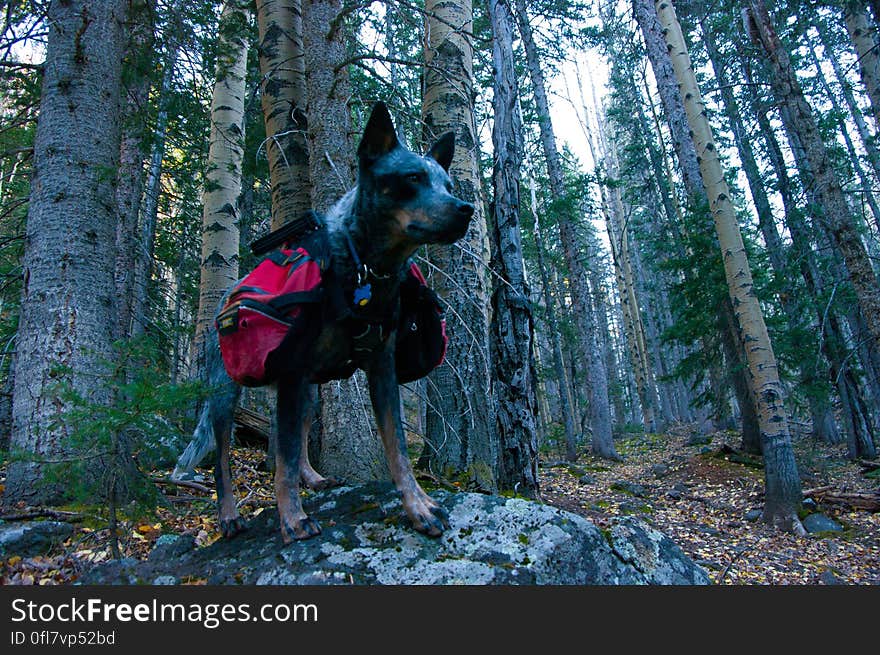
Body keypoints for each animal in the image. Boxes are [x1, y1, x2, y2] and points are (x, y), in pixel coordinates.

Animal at [203, 102, 474, 544]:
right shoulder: (291, 372)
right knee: (224, 457)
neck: (366, 269)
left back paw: (314, 478)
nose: (465, 209)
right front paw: (292, 519)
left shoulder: (380, 369)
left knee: (293, 436)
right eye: (412, 178)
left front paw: (418, 506)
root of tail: (227, 297)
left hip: (309, 391)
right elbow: (282, 462)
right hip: (227, 392)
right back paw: (229, 515)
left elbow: (398, 451)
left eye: (448, 185)